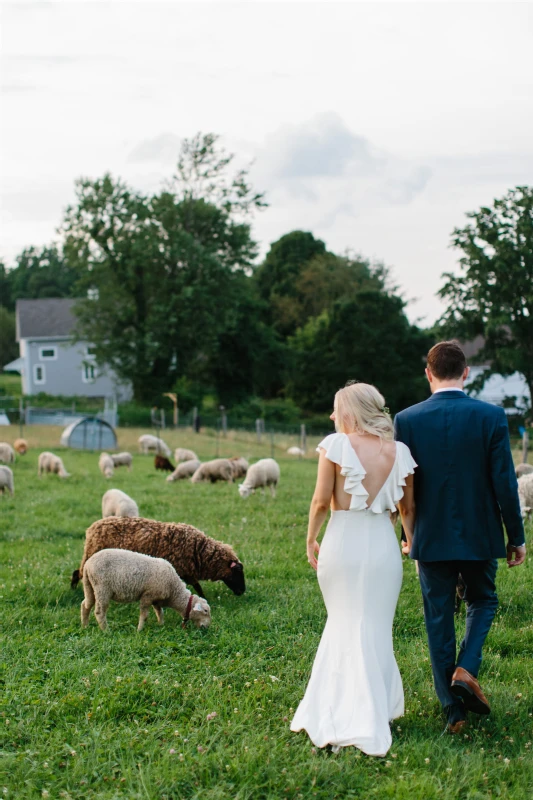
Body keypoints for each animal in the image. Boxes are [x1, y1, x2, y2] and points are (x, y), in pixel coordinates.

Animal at [70, 516, 245, 596]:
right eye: (237, 573)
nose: (242, 591)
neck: (199, 550)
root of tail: (92, 528)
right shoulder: (183, 570)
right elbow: (196, 585)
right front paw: (203, 596)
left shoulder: (186, 571)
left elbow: (196, 585)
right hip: (91, 556)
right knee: (78, 573)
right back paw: (74, 590)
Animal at [80, 552, 211, 632]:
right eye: (205, 611)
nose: (206, 627)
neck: (174, 590)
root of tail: (87, 564)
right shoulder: (148, 595)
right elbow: (144, 615)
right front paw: (139, 630)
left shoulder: (156, 598)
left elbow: (160, 612)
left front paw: (161, 625)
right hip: (102, 588)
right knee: (99, 611)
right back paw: (106, 631)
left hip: (89, 586)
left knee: (85, 605)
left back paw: (85, 626)